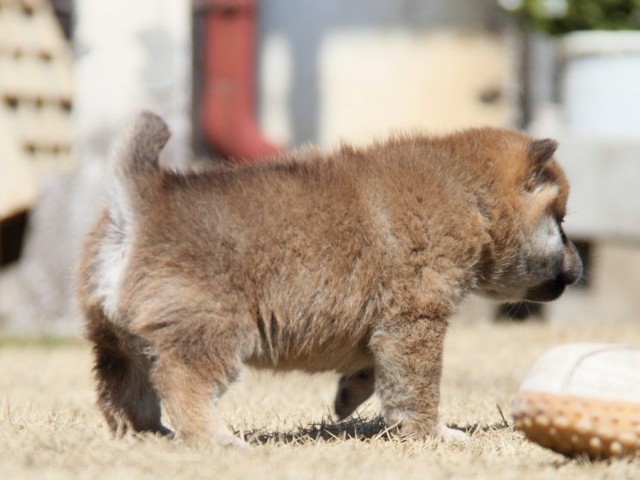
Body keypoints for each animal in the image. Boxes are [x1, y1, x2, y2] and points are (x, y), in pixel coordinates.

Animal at [77, 111, 584, 446]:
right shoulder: (414, 325)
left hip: (115, 341)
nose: (579, 270)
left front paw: (347, 400)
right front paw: (435, 434)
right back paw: (216, 440)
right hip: (211, 334)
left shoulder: (385, 332)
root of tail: (141, 203)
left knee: (123, 392)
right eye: (561, 223)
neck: (467, 196)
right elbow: (416, 392)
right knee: (181, 384)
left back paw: (145, 435)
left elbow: (373, 372)